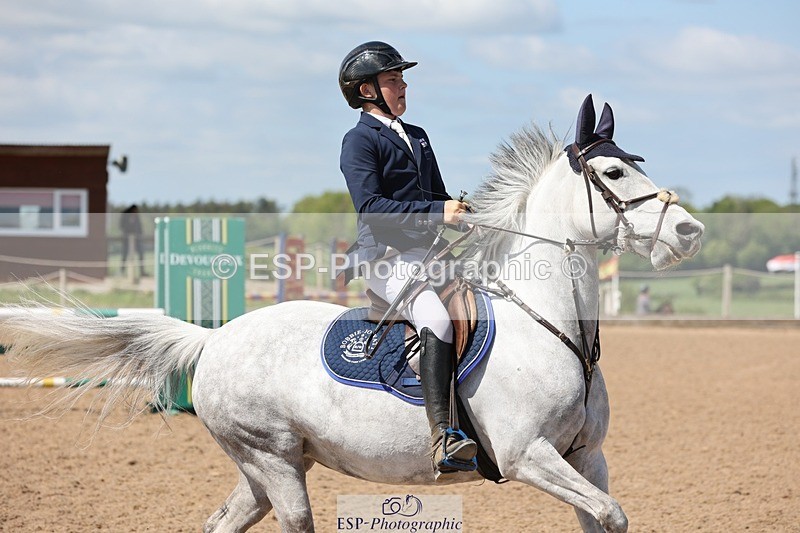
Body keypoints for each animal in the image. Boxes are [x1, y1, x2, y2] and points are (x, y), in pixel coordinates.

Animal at [2, 95, 704, 532]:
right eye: (614, 171)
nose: (690, 232)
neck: (551, 326)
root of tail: (213, 341)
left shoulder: (587, 458)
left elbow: (607, 515)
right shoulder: (526, 454)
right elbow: (610, 512)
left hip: (269, 467)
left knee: (221, 520)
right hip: (273, 459)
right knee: (291, 520)